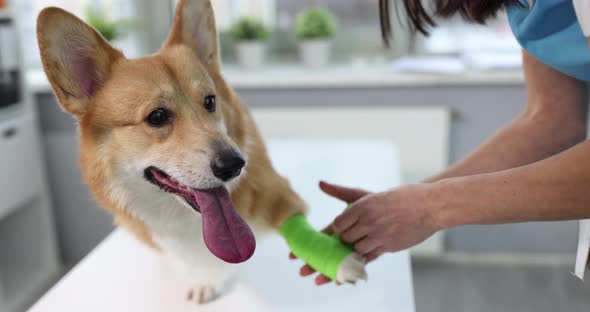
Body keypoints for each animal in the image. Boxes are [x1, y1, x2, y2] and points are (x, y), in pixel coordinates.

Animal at [37, 0, 366, 304]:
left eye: (209, 101)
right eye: (157, 116)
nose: (234, 165)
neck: (188, 219)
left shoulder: (275, 193)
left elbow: (296, 225)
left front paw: (341, 261)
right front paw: (206, 280)